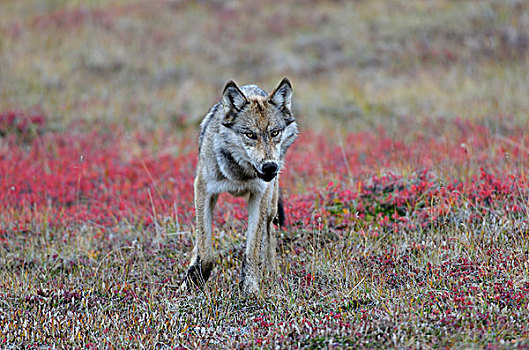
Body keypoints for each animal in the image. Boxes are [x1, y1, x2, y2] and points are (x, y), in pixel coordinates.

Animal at [182, 78, 296, 294]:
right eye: (250, 135)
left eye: (274, 133)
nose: (270, 166)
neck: (240, 174)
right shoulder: (203, 191)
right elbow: (205, 252)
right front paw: (194, 280)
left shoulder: (259, 196)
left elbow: (252, 251)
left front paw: (250, 290)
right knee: (199, 241)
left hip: (271, 206)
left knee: (270, 235)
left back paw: (273, 276)